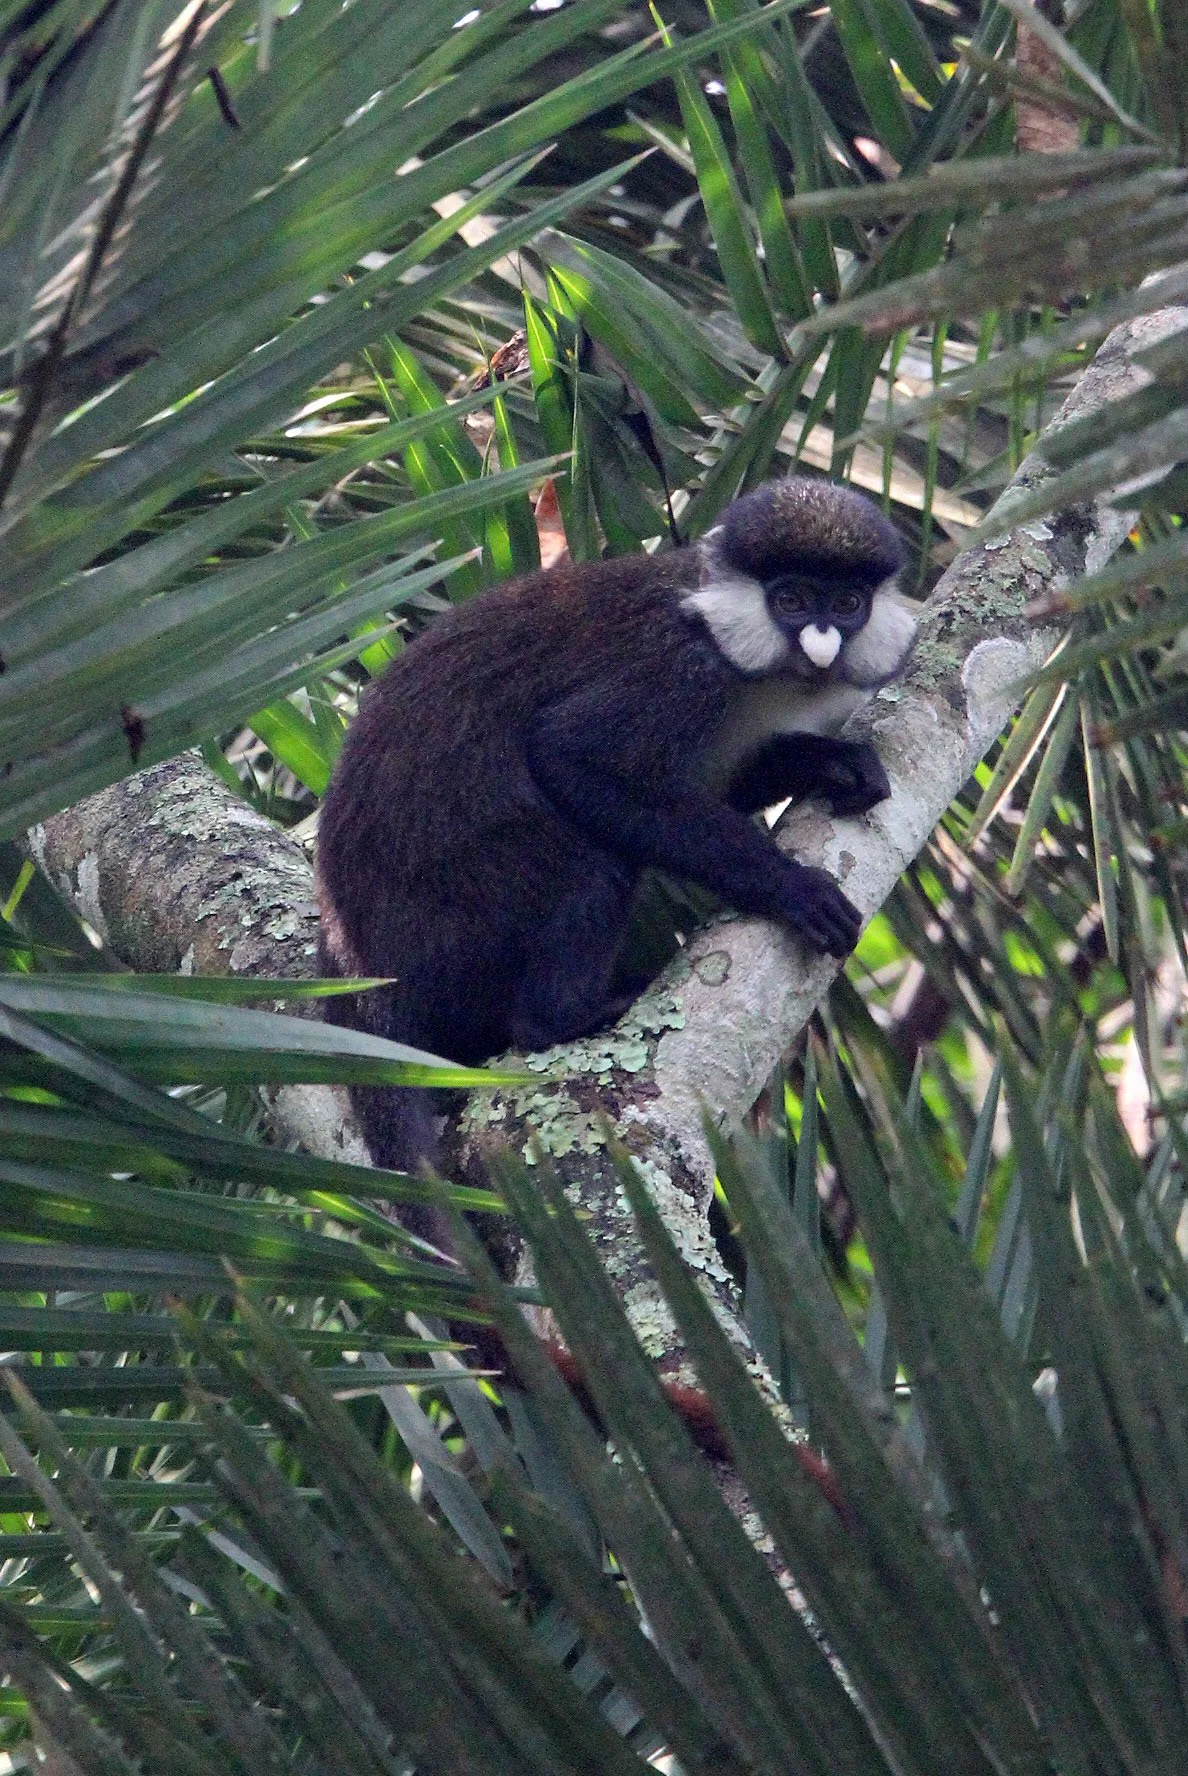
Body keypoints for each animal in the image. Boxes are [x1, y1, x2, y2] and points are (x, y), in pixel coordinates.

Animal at [315, 475, 916, 1178]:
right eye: (790, 599)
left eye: (847, 603)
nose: (822, 643)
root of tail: (360, 961)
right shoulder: (682, 670)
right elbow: (570, 757)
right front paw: (791, 888)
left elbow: (717, 787)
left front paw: (832, 762)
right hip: (458, 906)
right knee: (590, 861)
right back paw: (563, 1019)